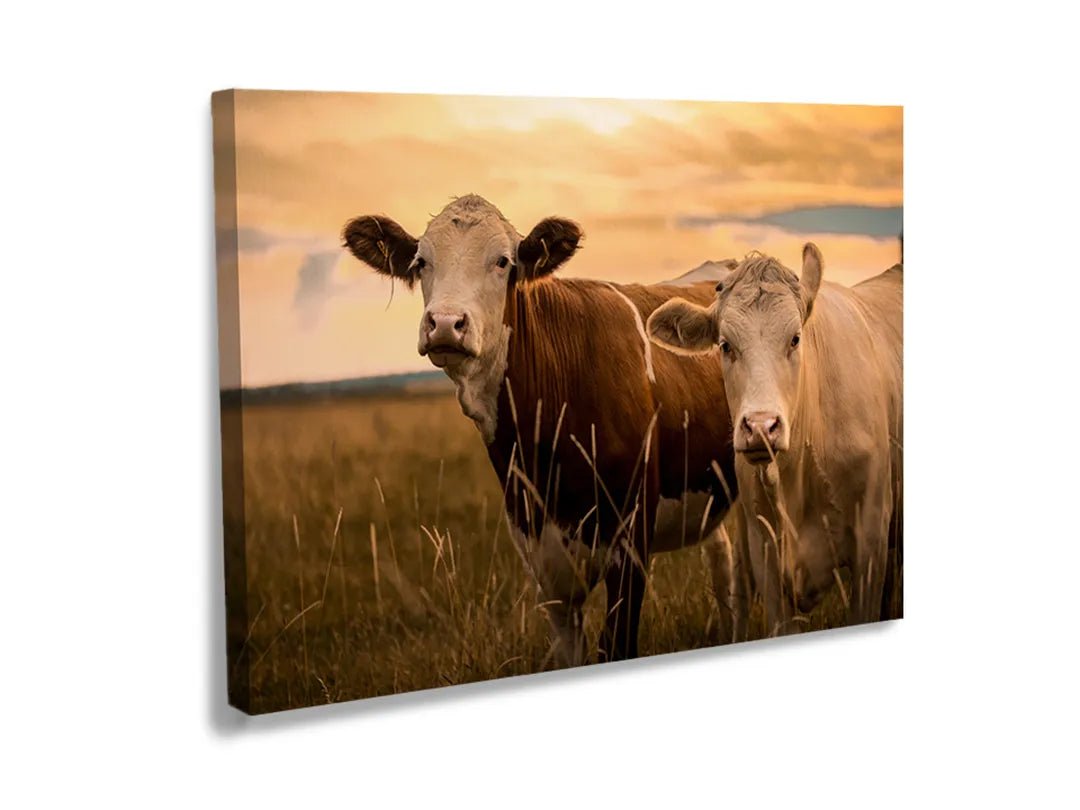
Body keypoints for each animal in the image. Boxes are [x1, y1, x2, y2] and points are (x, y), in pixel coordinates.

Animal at [342, 194, 739, 663]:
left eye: (503, 261)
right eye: (421, 262)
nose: (444, 323)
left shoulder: (631, 544)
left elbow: (616, 645)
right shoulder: (541, 559)